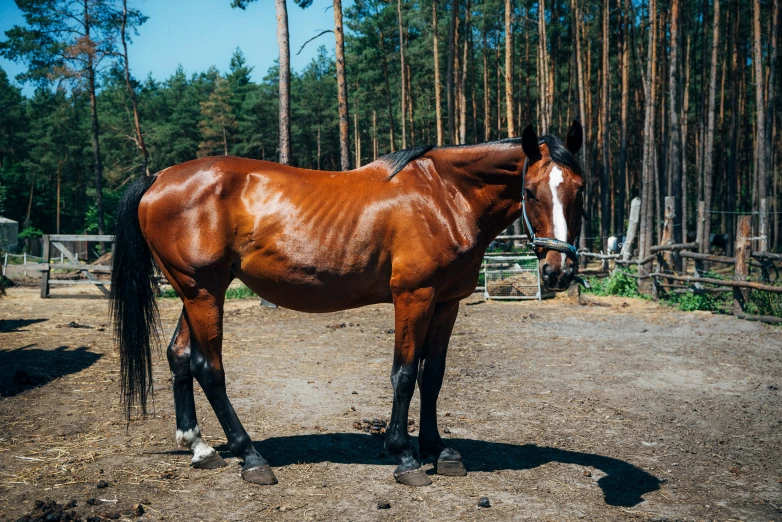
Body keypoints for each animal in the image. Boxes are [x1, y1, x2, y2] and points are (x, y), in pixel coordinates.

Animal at [113, 120, 584, 486]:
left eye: (579, 190)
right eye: (530, 191)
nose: (558, 272)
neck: (445, 196)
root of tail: (159, 177)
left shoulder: (446, 303)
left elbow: (432, 376)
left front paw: (438, 450)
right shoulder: (414, 296)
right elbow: (404, 375)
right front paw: (405, 455)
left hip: (196, 291)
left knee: (179, 356)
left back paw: (199, 447)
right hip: (204, 292)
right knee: (208, 368)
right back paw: (251, 457)